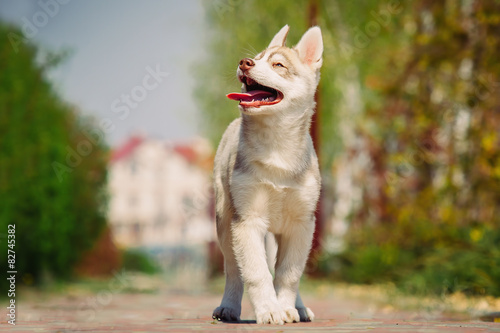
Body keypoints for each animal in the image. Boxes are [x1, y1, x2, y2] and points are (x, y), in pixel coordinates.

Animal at [212, 25, 322, 324]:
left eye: (278, 65)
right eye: (257, 58)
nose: (244, 63)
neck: (277, 148)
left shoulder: (301, 224)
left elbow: (289, 274)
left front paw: (286, 307)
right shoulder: (248, 221)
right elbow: (256, 273)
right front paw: (269, 310)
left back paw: (299, 307)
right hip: (225, 223)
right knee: (233, 270)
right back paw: (228, 307)